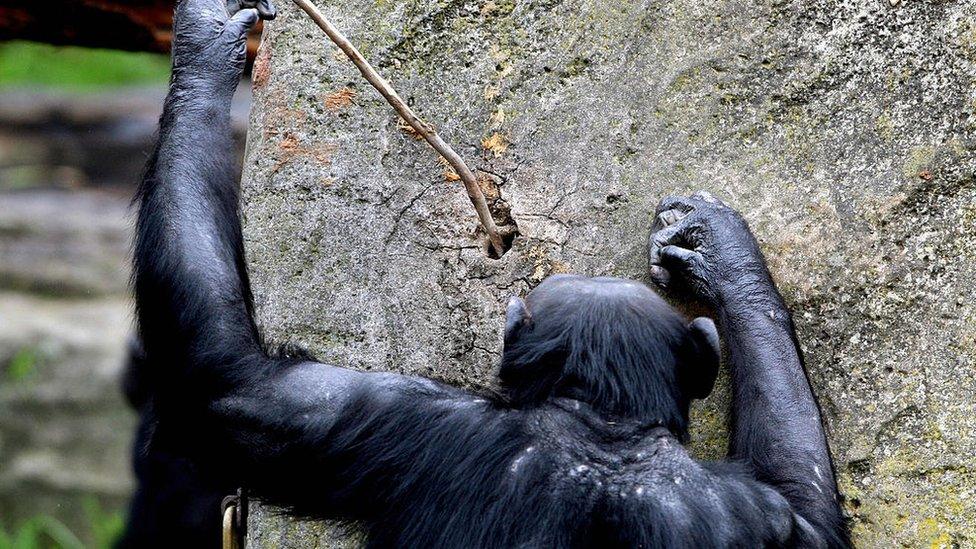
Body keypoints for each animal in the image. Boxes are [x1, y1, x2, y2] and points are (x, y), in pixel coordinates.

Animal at [124, 1, 848, 544]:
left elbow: (228, 381)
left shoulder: (398, 419)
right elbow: (228, 380)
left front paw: (719, 250)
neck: (604, 432)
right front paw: (213, 37)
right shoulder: (408, 420)